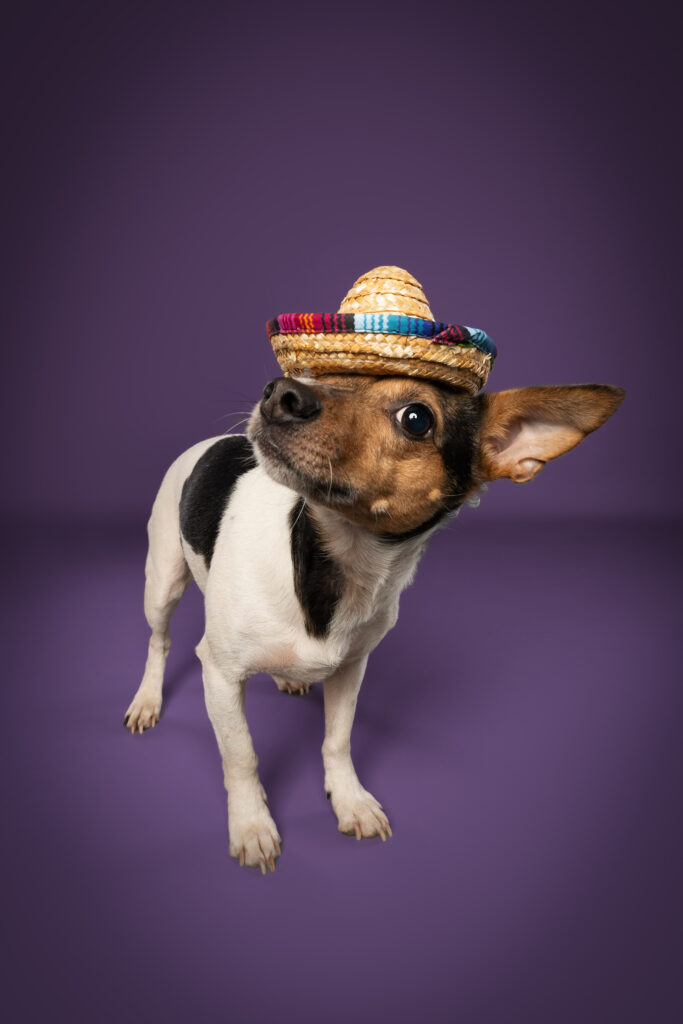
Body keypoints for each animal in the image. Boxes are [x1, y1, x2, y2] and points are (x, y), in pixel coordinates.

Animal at [122, 372, 626, 868]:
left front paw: (349, 800)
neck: (339, 563)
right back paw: (147, 700)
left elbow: (337, 740)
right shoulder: (219, 674)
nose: (282, 390)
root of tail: (212, 442)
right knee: (158, 641)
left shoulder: (350, 668)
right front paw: (251, 825)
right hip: (163, 582)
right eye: (331, 374)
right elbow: (241, 754)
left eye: (416, 419)